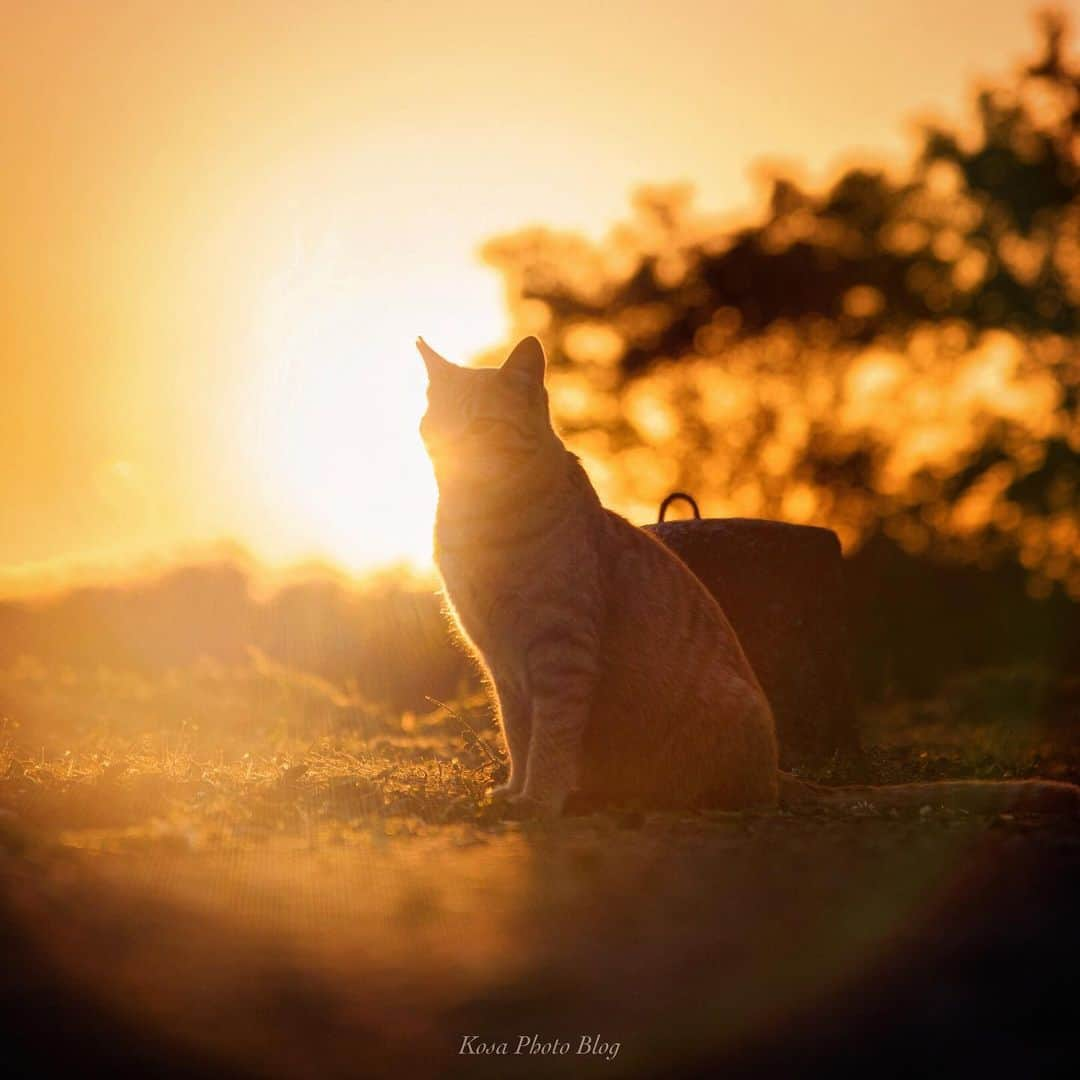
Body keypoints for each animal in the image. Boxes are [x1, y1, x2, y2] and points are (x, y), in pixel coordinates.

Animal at [414, 336, 1080, 816]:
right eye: (434, 423)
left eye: (481, 426)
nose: (448, 446)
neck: (477, 518)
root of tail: (779, 767)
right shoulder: (502, 664)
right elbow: (518, 734)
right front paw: (515, 789)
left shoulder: (559, 649)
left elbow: (551, 736)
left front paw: (540, 799)